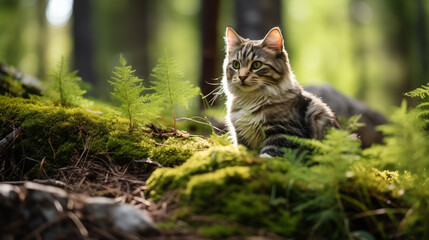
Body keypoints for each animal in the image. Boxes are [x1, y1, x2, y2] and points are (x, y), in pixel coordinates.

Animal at [222, 26, 336, 158]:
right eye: (236, 64)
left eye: (257, 65)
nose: (242, 77)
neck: (251, 99)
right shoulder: (241, 134)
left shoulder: (283, 132)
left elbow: (270, 154)